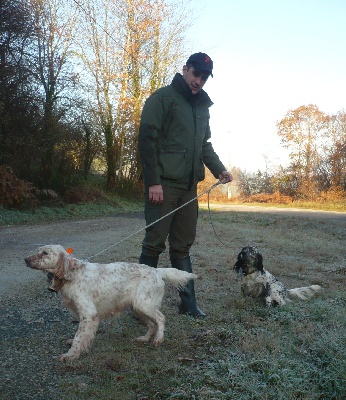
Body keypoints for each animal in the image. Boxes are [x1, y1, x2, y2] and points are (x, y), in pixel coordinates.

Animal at [24, 245, 197, 360]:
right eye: (37, 251)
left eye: (45, 253)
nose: (25, 259)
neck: (71, 274)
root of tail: (157, 270)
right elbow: (80, 336)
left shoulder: (88, 314)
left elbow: (79, 336)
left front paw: (70, 355)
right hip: (137, 307)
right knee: (151, 323)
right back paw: (144, 338)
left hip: (144, 304)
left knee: (160, 319)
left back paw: (158, 339)